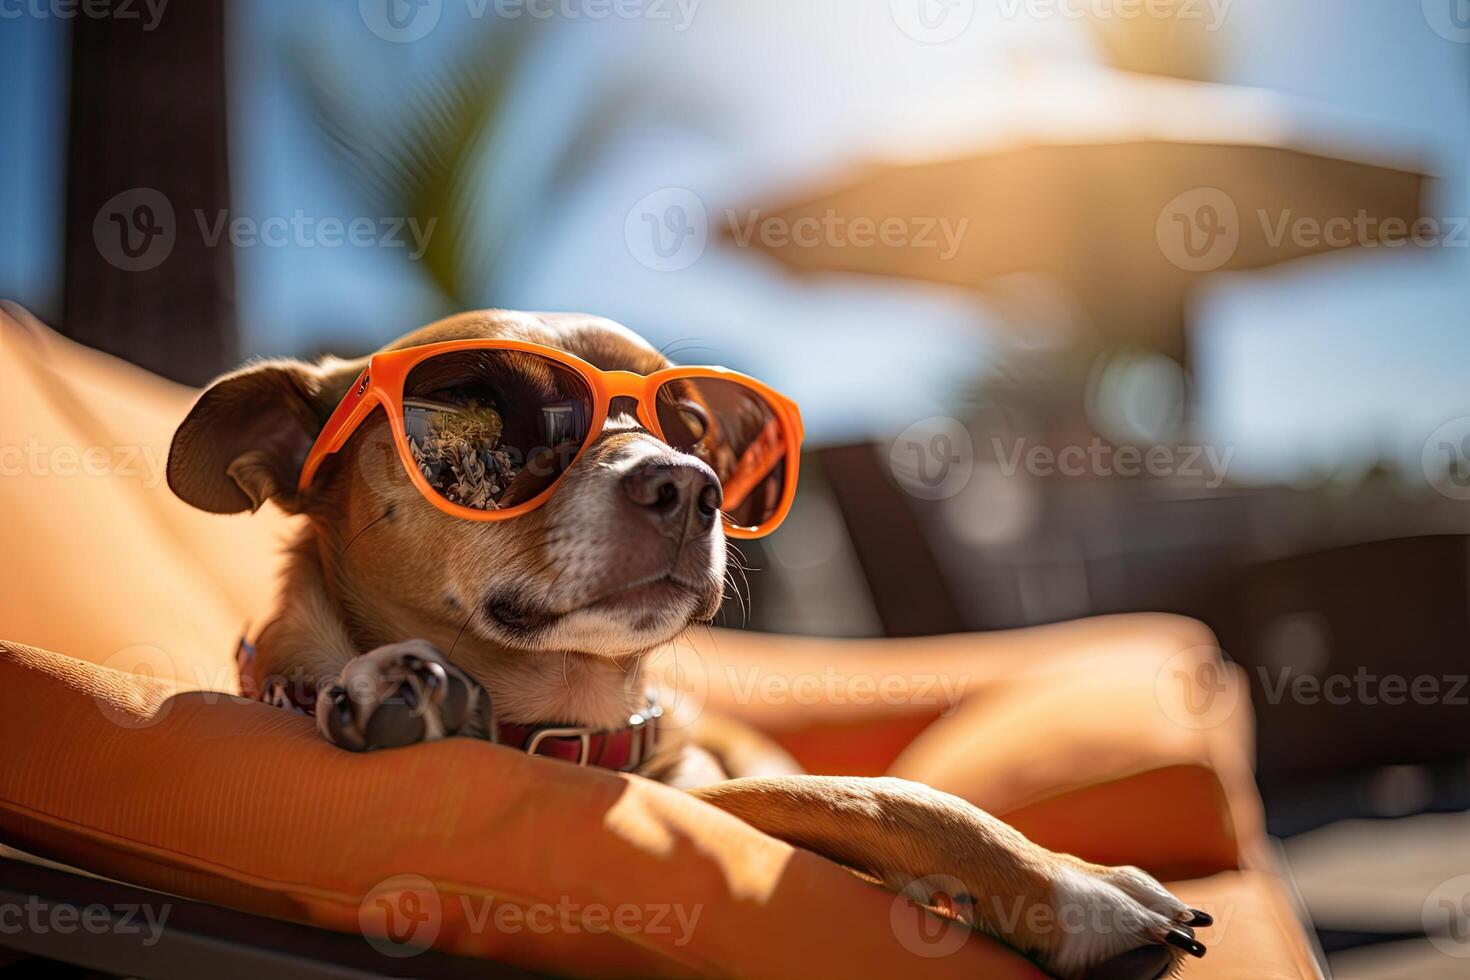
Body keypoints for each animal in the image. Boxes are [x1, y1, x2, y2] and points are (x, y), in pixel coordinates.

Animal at [169, 310, 1205, 975]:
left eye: (694, 425)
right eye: (483, 409)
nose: (689, 483)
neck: (575, 725)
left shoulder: (705, 781)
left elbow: (863, 790)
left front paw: (1069, 881)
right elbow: (871, 792)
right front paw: (1079, 892)